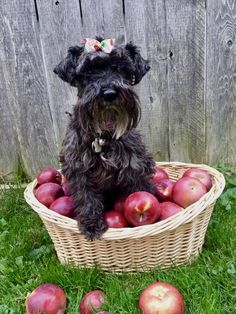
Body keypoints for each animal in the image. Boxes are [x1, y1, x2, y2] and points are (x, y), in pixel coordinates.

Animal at [53, 36, 157, 239]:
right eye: (88, 71)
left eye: (122, 68)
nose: (109, 93)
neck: (103, 134)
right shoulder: (78, 168)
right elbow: (86, 198)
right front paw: (91, 224)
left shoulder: (136, 165)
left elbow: (141, 189)